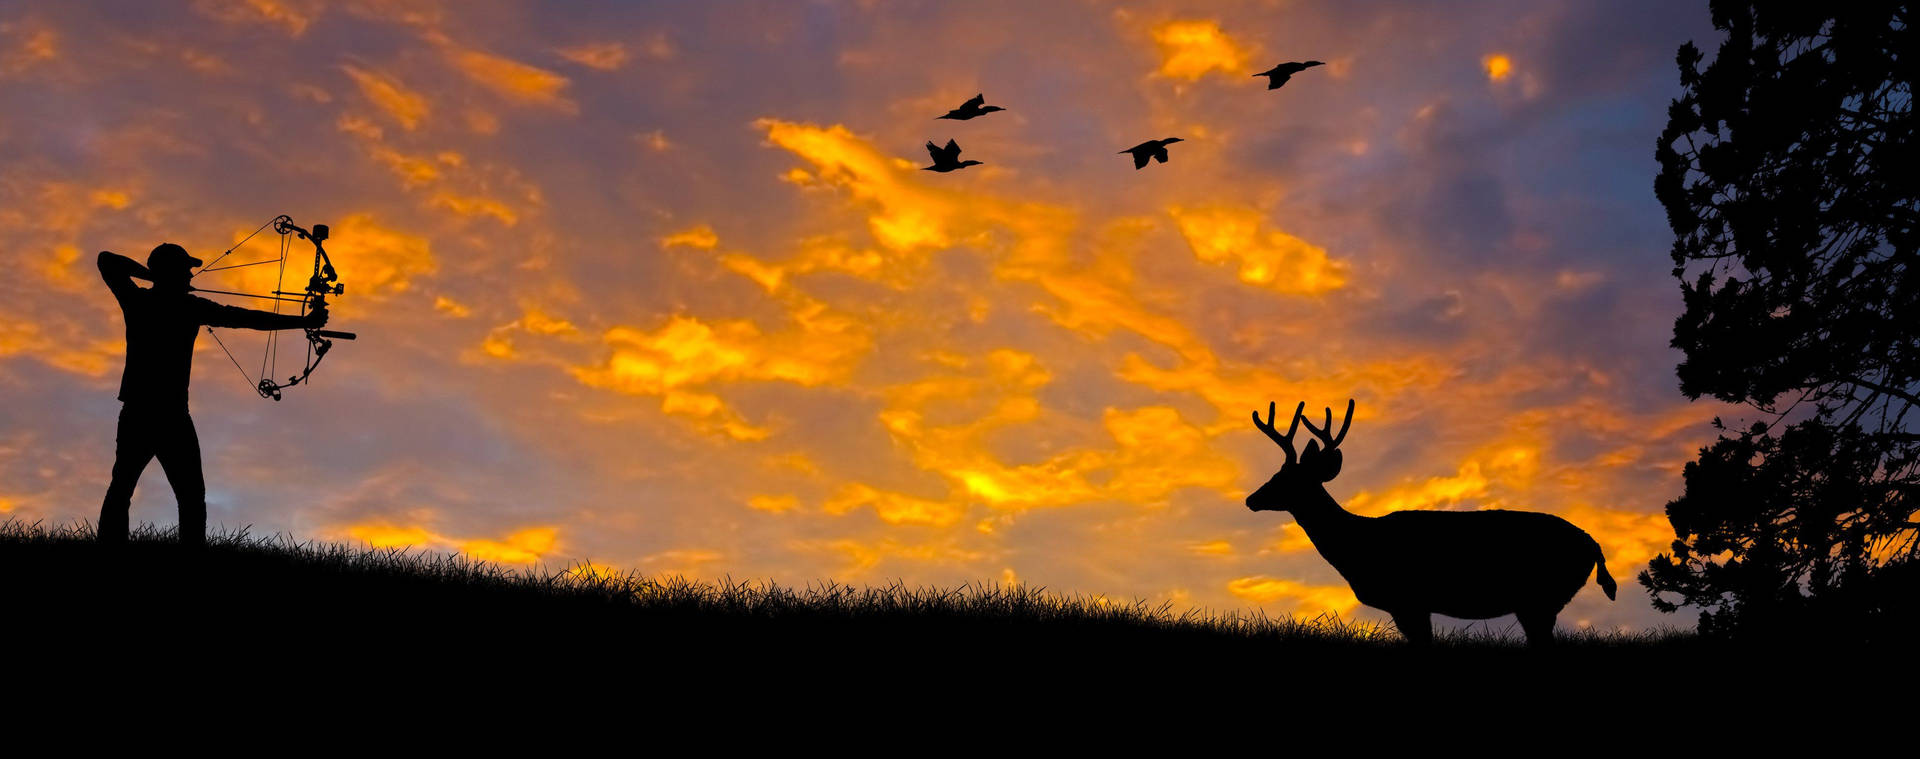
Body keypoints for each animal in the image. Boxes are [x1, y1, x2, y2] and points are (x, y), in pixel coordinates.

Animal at [1245, 399, 1616, 646]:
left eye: (1282, 477)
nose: (1251, 499)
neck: (1358, 545)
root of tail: (1594, 545)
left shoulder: (1408, 600)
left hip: (1540, 597)